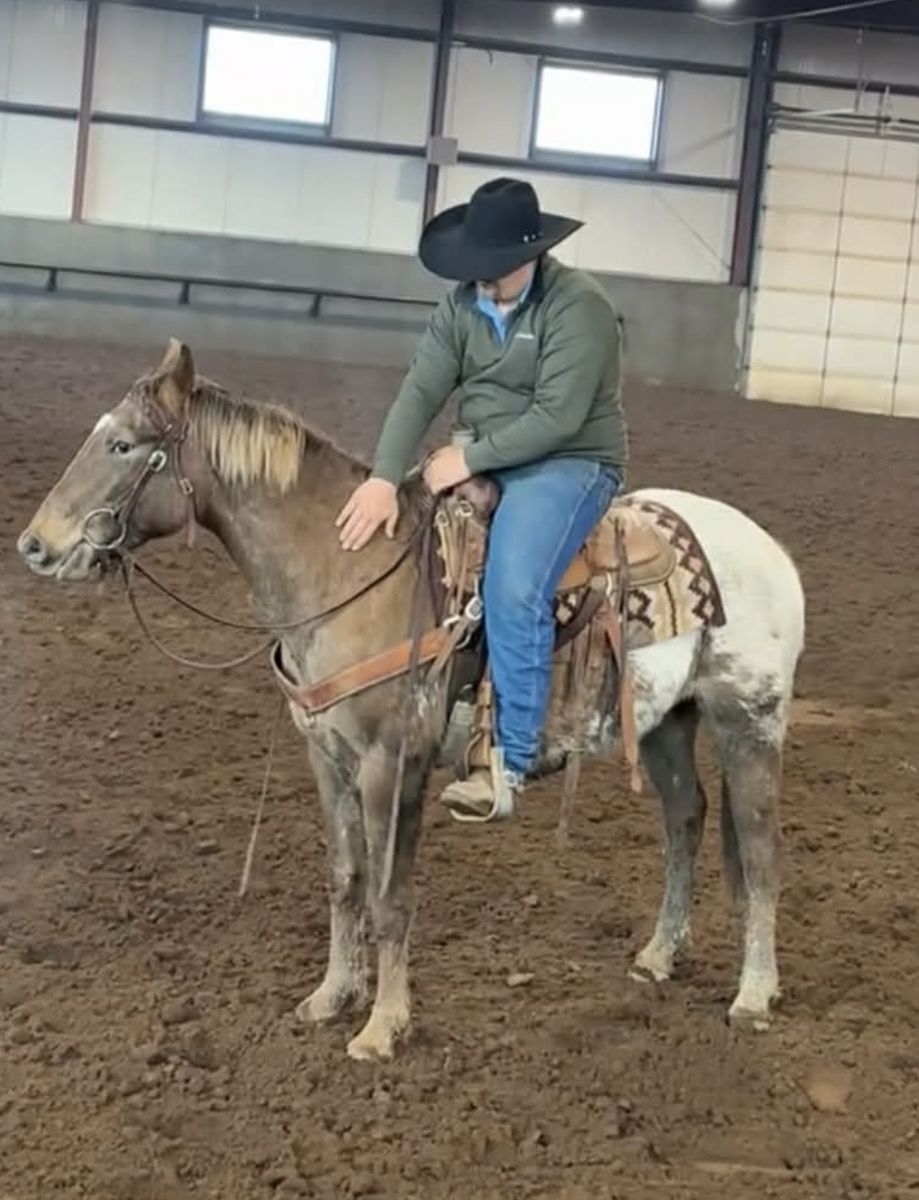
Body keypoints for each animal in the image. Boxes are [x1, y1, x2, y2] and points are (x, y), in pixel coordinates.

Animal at [17, 339, 805, 1061]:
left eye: (123, 445)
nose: (35, 544)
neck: (345, 573)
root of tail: (773, 552)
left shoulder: (390, 764)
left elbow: (390, 896)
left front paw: (382, 1026)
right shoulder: (326, 758)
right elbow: (345, 879)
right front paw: (331, 996)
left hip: (747, 720)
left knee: (761, 851)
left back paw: (753, 995)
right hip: (667, 721)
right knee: (685, 820)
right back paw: (658, 957)